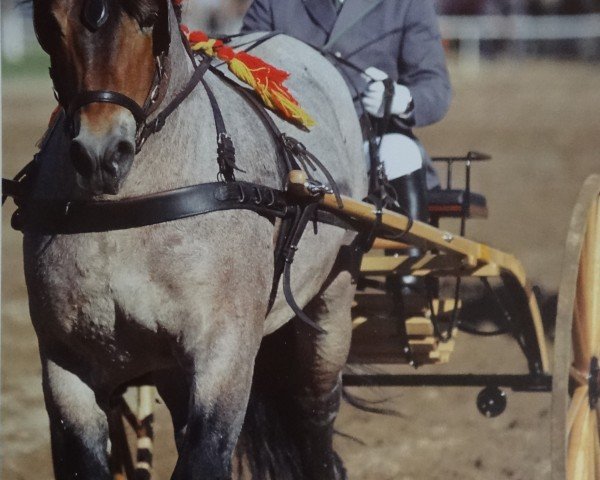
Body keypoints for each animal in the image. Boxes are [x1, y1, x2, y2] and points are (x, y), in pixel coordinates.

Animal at [24, 0, 366, 478]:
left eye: (149, 19)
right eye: (50, 22)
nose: (100, 155)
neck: (129, 211)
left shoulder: (223, 352)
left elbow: (206, 456)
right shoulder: (65, 362)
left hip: (332, 298)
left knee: (315, 407)